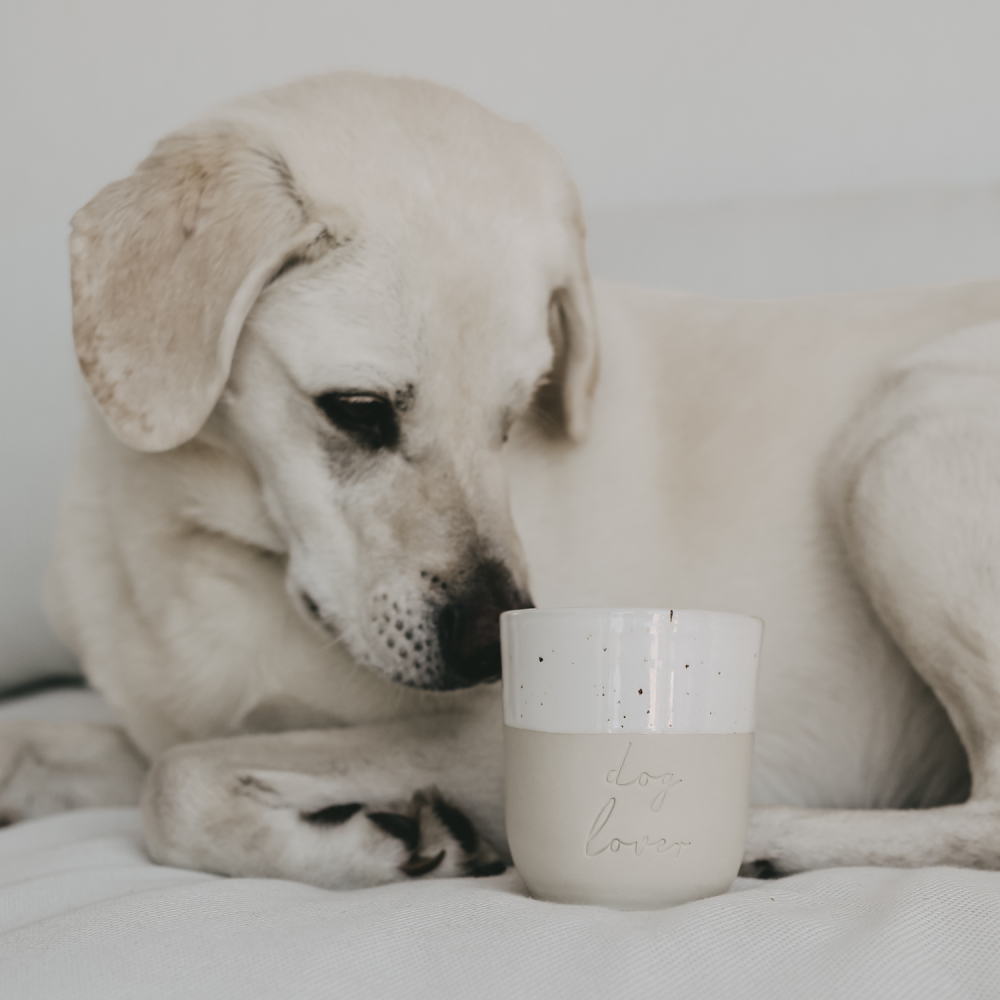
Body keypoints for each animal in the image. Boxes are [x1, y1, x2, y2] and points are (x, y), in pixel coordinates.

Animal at [1, 72, 1000, 892]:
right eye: (358, 410)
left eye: (515, 416)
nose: (493, 650)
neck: (198, 543)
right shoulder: (149, 719)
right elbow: (93, 747)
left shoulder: (479, 739)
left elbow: (175, 780)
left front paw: (368, 840)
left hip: (896, 441)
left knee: (986, 817)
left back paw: (772, 836)